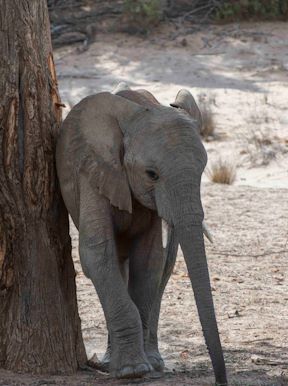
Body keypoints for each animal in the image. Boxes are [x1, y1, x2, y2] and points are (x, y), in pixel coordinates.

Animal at [55, 83, 227, 384]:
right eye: (151, 174)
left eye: (202, 170)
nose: (220, 380)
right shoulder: (92, 171)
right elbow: (96, 254)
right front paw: (131, 372)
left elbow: (149, 261)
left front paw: (141, 367)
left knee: (155, 266)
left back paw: (148, 362)